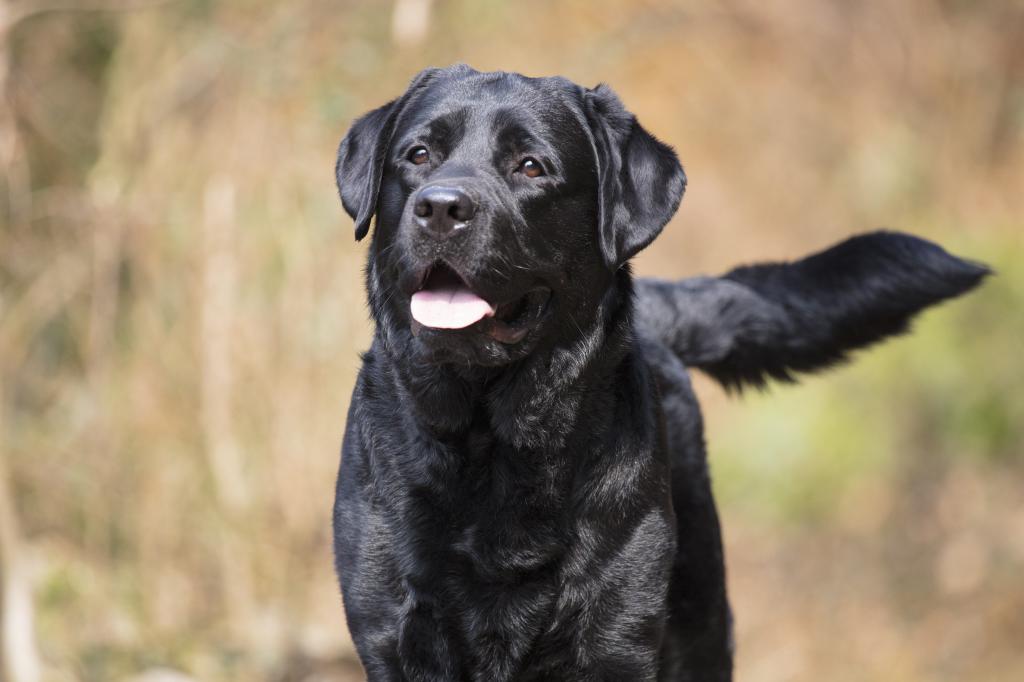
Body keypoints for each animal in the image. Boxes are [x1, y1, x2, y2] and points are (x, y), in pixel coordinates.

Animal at [331, 65, 987, 679]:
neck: (492, 444)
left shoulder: (616, 635)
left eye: (531, 166)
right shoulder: (391, 634)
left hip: (698, 612)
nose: (441, 207)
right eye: (419, 155)